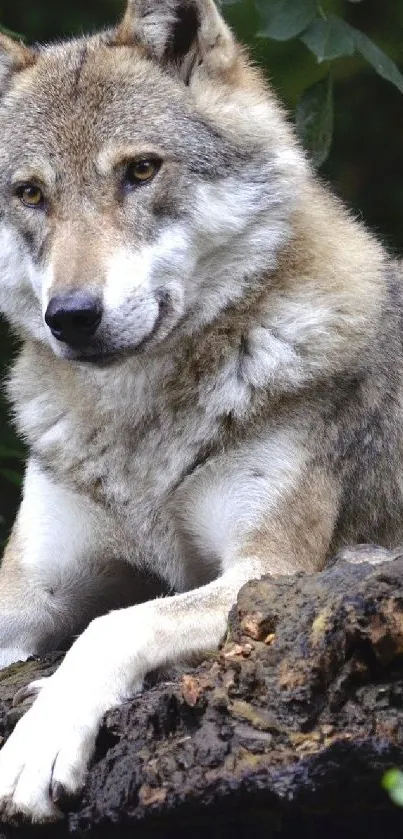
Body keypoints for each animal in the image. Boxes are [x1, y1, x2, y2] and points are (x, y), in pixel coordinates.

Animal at [0, 0, 400, 824]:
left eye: (140, 170)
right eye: (29, 194)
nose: (72, 317)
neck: (138, 431)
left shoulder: (268, 573)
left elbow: (115, 622)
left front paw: (39, 741)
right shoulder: (27, 592)